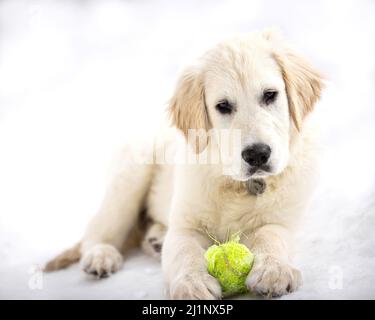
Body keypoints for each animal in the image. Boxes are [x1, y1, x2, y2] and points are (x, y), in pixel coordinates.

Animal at [46, 31, 324, 298]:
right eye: (223, 106)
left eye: (270, 95)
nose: (257, 154)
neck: (237, 184)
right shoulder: (185, 225)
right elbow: (184, 252)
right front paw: (192, 283)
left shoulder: (283, 220)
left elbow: (272, 236)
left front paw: (273, 271)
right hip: (130, 176)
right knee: (98, 229)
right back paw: (101, 256)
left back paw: (155, 240)